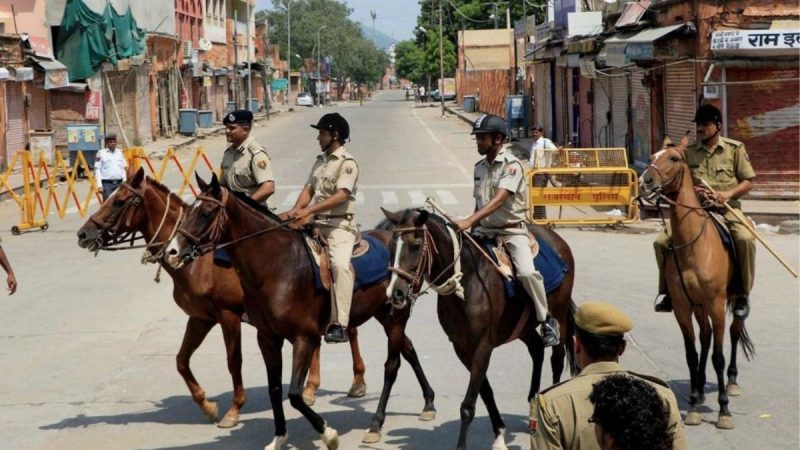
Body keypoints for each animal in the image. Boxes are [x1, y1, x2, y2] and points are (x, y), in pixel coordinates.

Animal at [76, 168, 370, 428]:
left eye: (119, 201)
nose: (83, 234)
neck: (199, 262)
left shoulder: (228, 315)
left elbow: (233, 360)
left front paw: (234, 409)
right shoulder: (200, 318)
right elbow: (181, 360)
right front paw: (207, 405)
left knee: (349, 330)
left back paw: (356, 382)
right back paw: (311, 388)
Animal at [164, 174, 438, 448]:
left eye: (206, 213)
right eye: (188, 210)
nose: (171, 251)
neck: (277, 266)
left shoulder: (303, 338)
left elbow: (295, 394)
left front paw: (328, 434)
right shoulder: (267, 338)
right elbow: (274, 389)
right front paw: (279, 436)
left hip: (395, 316)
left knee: (392, 365)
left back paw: (377, 423)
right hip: (385, 314)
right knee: (409, 349)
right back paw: (428, 402)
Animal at [382, 207, 576, 450]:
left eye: (416, 245)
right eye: (391, 246)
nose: (395, 293)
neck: (467, 281)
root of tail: (558, 240)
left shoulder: (483, 346)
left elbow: (468, 405)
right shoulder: (462, 348)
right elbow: (485, 392)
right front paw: (499, 433)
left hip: (559, 316)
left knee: (556, 359)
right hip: (521, 328)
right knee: (536, 349)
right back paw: (533, 406)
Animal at [640, 135, 752, 430]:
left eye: (674, 158)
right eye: (651, 157)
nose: (646, 181)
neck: (694, 245)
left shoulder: (715, 304)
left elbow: (718, 356)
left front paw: (723, 410)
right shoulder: (682, 306)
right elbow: (692, 353)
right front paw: (692, 404)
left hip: (731, 301)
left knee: (733, 332)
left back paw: (732, 381)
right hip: (698, 307)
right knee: (705, 336)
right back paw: (700, 388)